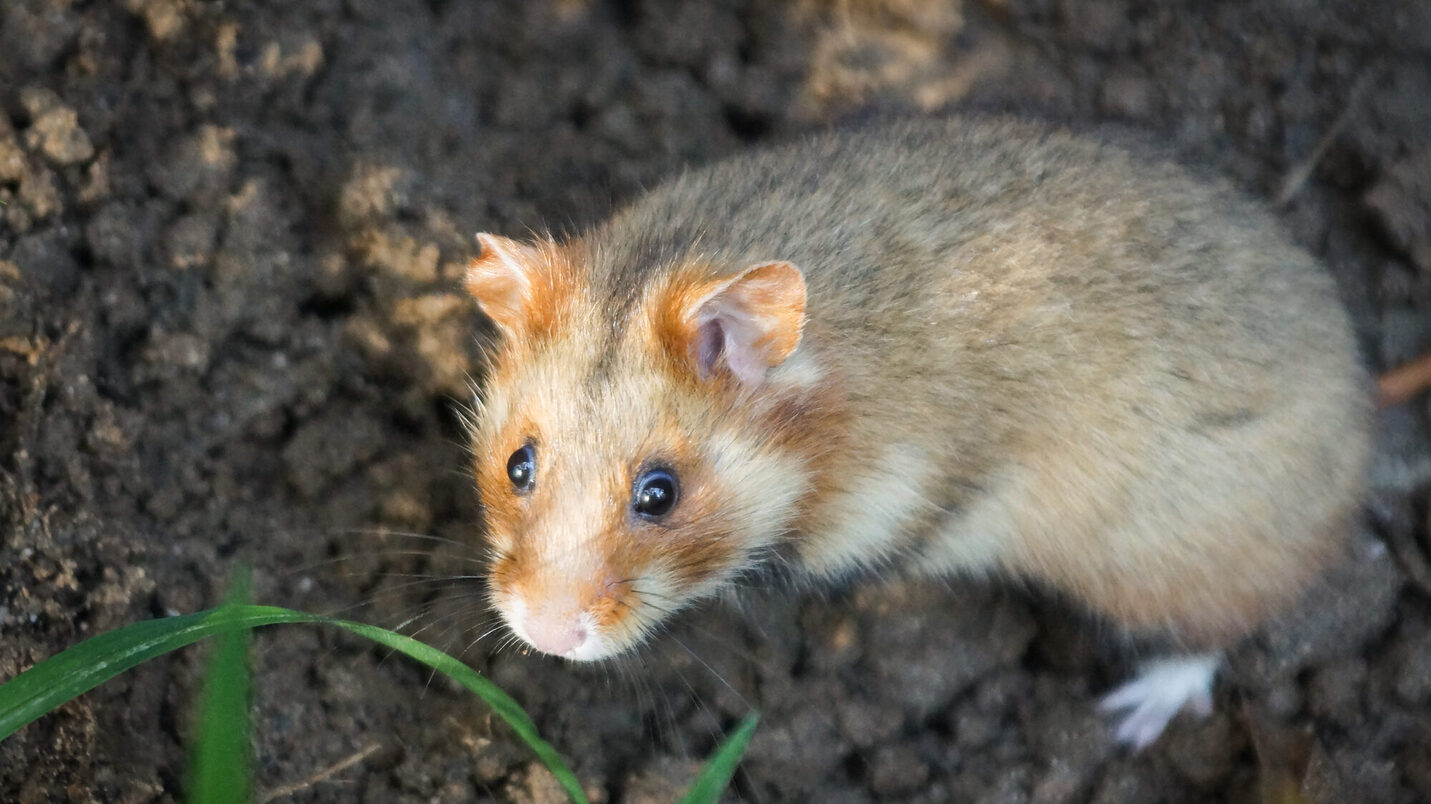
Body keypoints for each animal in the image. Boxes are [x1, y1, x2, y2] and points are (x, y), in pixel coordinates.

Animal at [461, 116, 1372, 747]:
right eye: (517, 466)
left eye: (660, 493)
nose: (543, 634)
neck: (818, 422)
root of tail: (1357, 408)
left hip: (1171, 554)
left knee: (1222, 632)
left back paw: (1128, 717)